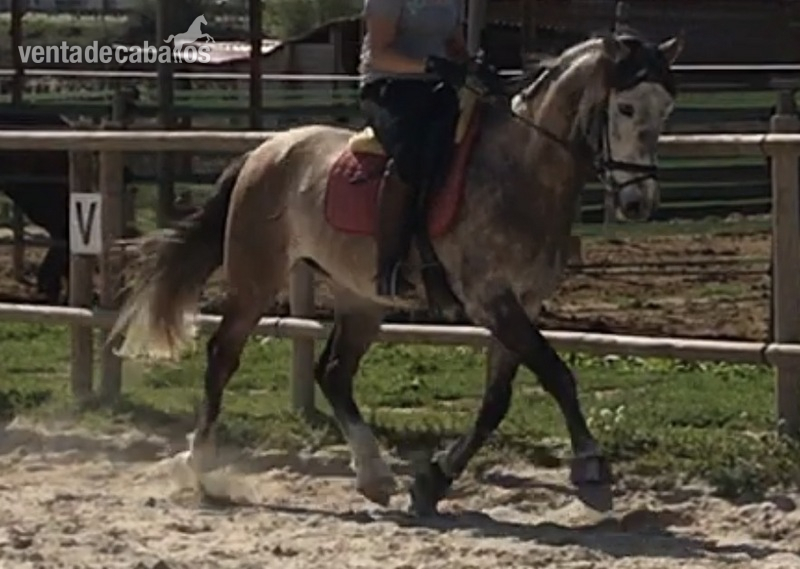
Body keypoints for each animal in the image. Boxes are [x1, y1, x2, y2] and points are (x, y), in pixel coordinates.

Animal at [110, 31, 684, 516]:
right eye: (626, 107)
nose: (639, 202)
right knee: (222, 358)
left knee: (333, 373)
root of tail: (262, 151)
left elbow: (496, 401)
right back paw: (201, 464)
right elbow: (556, 374)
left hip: (361, 298)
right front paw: (590, 465)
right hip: (256, 280)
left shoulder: (521, 302)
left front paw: (434, 481)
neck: (520, 173)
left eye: (666, 110)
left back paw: (374, 476)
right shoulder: (490, 299)